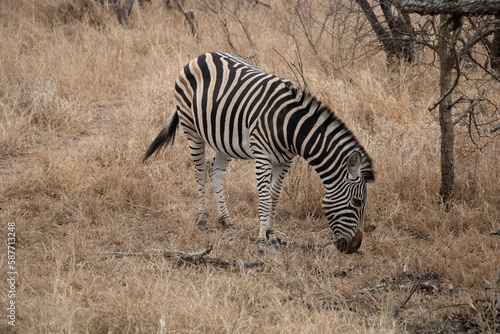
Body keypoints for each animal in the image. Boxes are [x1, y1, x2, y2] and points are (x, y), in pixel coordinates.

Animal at [143, 52, 374, 254]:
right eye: (357, 202)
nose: (355, 247)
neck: (289, 128)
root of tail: (200, 55)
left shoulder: (285, 161)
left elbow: (274, 197)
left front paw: (273, 237)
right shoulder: (263, 157)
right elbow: (263, 199)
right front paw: (262, 244)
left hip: (223, 138)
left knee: (215, 173)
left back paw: (226, 220)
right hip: (191, 128)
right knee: (200, 172)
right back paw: (202, 219)